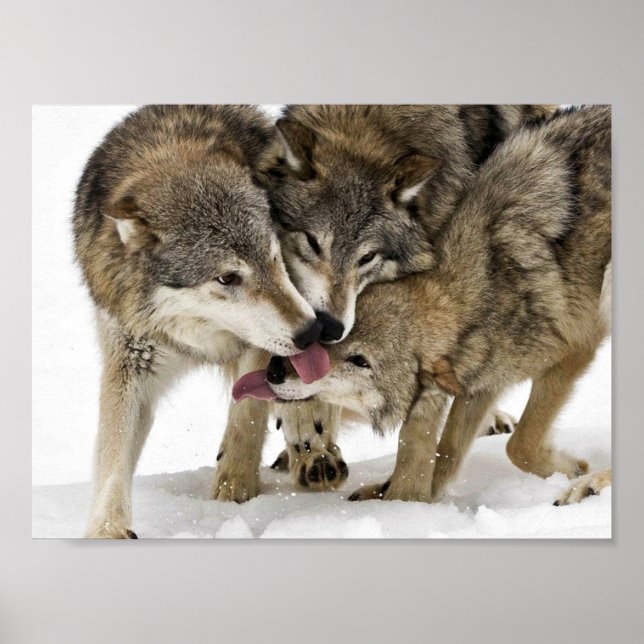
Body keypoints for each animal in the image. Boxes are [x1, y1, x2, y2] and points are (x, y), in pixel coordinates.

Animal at [73, 105, 324, 538]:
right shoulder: (130, 360)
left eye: (273, 256)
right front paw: (107, 529)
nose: (310, 332)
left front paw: (234, 490)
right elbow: (112, 453)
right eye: (227, 278)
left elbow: (247, 417)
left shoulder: (260, 345)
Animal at [262, 105, 612, 505]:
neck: (483, 290)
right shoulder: (479, 381)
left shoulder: (573, 353)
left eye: (360, 361)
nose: (275, 371)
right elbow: (446, 454)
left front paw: (572, 469)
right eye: (311, 243)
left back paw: (592, 484)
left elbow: (518, 446)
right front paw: (406, 497)